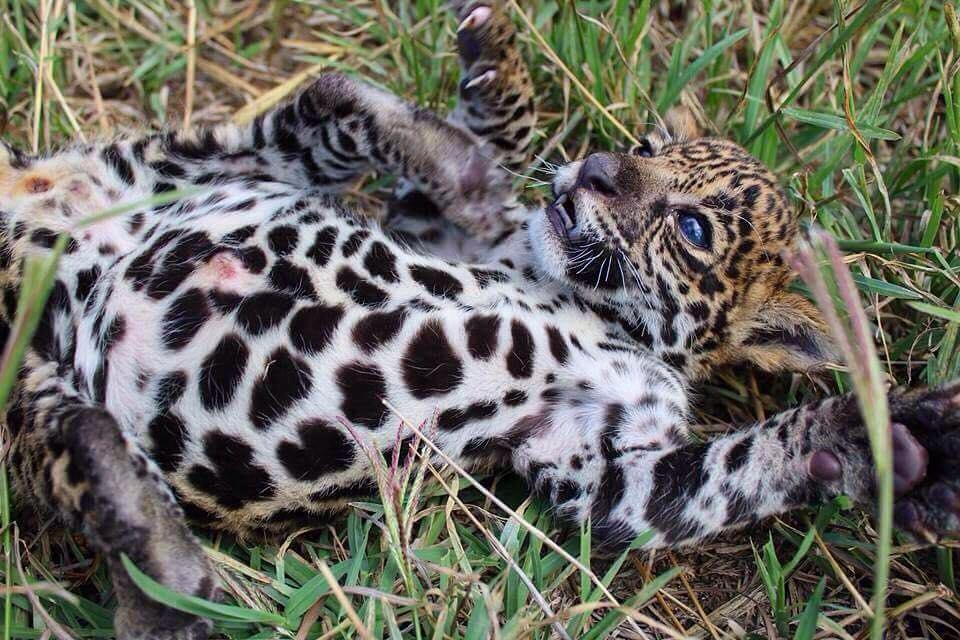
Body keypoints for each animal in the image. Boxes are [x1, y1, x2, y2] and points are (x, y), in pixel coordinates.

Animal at [1, 2, 958, 638]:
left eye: (690, 228)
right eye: (645, 149)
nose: (596, 166)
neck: (566, 291)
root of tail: (38, 222)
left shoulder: (599, 471)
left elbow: (723, 472)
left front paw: (868, 443)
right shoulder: (438, 231)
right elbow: (457, 181)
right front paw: (495, 85)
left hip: (47, 363)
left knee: (83, 440)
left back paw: (157, 577)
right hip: (184, 174)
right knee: (325, 98)